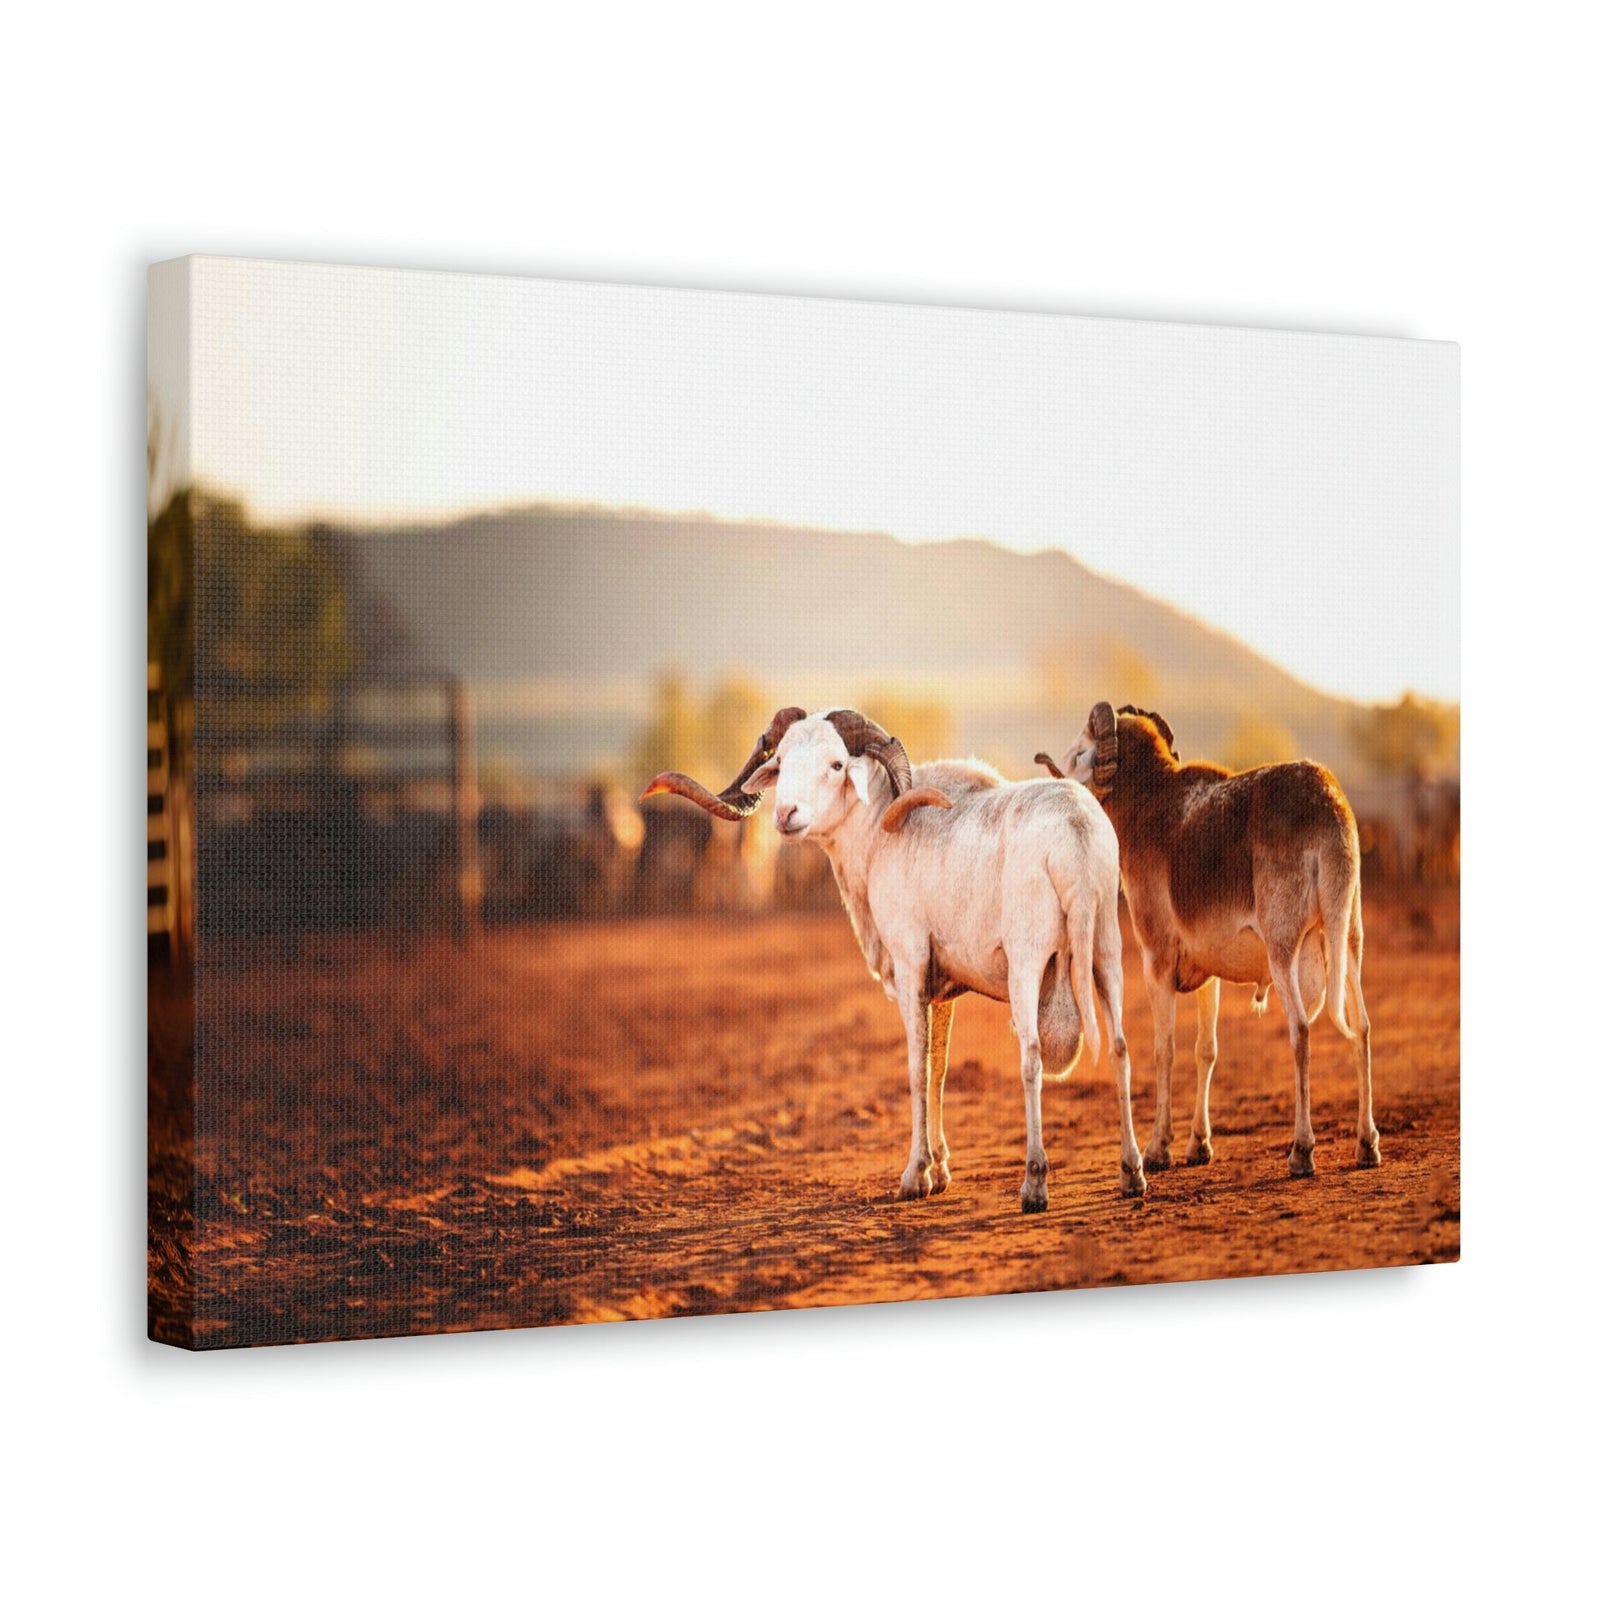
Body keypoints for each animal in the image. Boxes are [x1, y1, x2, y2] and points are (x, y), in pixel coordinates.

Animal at [644, 707, 1145, 1212]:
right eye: (781, 760)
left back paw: (1035, 1185)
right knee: (1121, 1048)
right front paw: (940, 1172)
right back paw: (1132, 1174)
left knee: (1032, 1058)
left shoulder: (910, 968)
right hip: (1107, 953)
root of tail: (1075, 835)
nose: (786, 816)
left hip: (1028, 963)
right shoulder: (944, 991)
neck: (877, 841)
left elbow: (916, 1068)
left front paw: (914, 1176)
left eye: (836, 764)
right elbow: (938, 1069)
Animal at [1038, 703, 1379, 1177]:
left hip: (1284, 956)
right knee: (1361, 1027)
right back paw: (1367, 1146)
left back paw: (1301, 1152)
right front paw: (1198, 1146)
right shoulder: (1208, 978)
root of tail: (1328, 810)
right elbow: (1206, 1051)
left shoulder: (1157, 964)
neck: (1150, 807)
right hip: (1347, 943)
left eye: (1078, 752)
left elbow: (1165, 1050)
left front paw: (1158, 1150)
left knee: (1301, 1031)